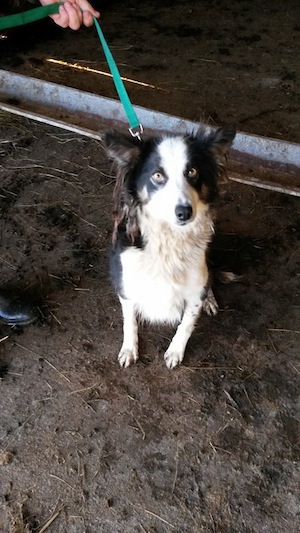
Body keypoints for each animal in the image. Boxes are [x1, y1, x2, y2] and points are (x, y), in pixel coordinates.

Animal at [104, 124, 236, 366]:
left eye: (192, 172)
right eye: (157, 175)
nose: (184, 212)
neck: (169, 240)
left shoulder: (195, 291)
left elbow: (186, 325)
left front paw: (175, 352)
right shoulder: (125, 284)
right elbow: (129, 321)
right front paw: (129, 349)